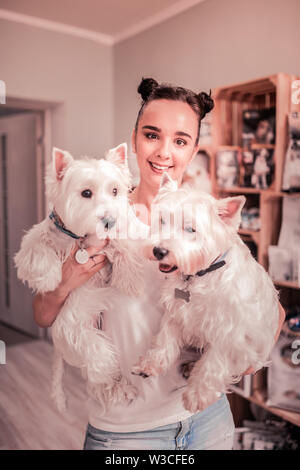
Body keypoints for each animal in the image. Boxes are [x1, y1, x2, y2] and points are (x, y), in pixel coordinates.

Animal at [15, 144, 143, 412]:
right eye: (86, 193)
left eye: (115, 191)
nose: (109, 220)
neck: (83, 237)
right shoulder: (36, 242)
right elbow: (37, 248)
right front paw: (49, 279)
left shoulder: (109, 244)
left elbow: (123, 246)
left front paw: (132, 280)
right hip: (79, 334)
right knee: (100, 363)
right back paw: (121, 387)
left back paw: (120, 389)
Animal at [132, 174, 280, 414]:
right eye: (162, 220)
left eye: (191, 229)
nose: (159, 251)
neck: (202, 275)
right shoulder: (177, 312)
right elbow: (164, 339)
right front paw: (151, 364)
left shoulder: (230, 333)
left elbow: (214, 363)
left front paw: (197, 395)